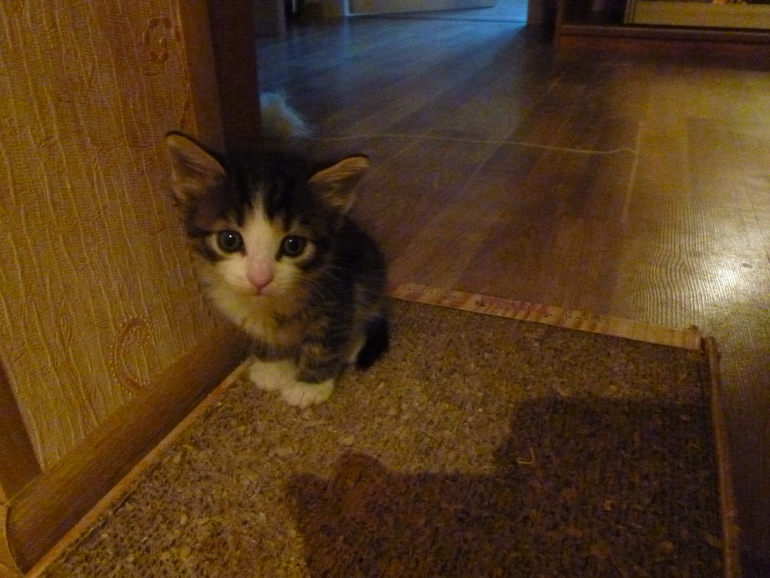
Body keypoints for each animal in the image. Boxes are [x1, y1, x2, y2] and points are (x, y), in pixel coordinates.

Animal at [164, 99, 388, 408]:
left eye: (294, 245)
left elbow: (326, 338)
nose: (260, 279)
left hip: (368, 270)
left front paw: (310, 385)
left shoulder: (338, 290)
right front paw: (273, 368)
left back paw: (352, 345)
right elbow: (260, 331)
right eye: (228, 240)